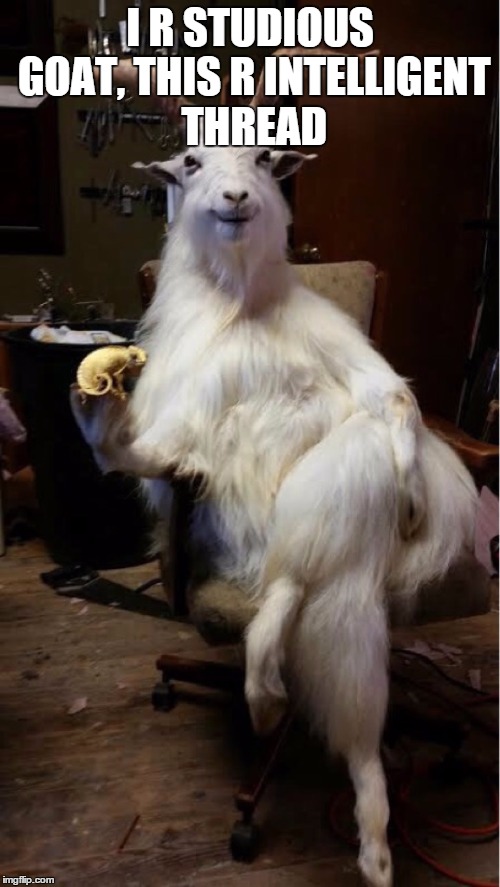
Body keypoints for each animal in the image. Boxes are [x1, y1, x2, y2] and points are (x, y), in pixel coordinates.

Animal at [71, 57, 477, 887]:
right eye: (191, 162)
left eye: (264, 155)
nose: (237, 200)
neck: (240, 309)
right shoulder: (182, 434)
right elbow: (144, 456)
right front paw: (99, 395)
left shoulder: (362, 369)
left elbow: (395, 402)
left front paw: (411, 490)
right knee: (291, 589)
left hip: (330, 515)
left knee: (308, 586)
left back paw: (365, 824)